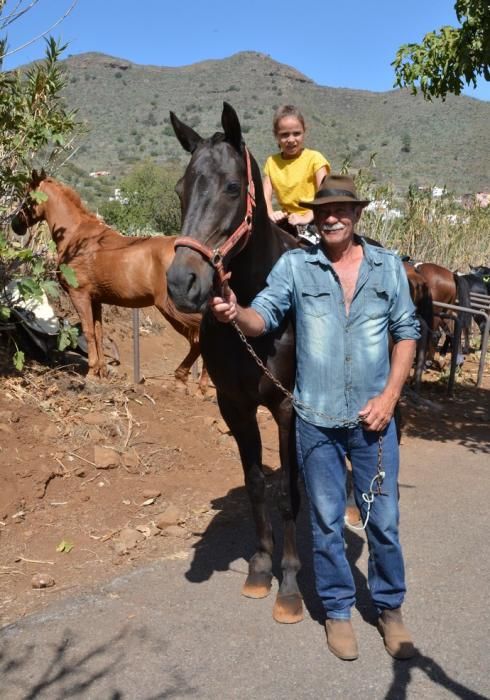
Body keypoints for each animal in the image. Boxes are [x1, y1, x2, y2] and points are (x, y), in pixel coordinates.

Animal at [11, 168, 207, 388]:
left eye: (28, 196)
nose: (15, 225)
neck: (76, 236)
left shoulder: (80, 296)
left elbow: (88, 331)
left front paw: (91, 372)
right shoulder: (97, 300)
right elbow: (99, 332)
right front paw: (101, 372)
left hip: (173, 309)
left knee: (198, 339)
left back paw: (187, 380)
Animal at [168, 101, 304, 620]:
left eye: (231, 186)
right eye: (181, 188)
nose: (181, 283)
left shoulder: (287, 407)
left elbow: (288, 491)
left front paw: (290, 582)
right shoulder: (234, 406)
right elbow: (255, 484)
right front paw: (261, 567)